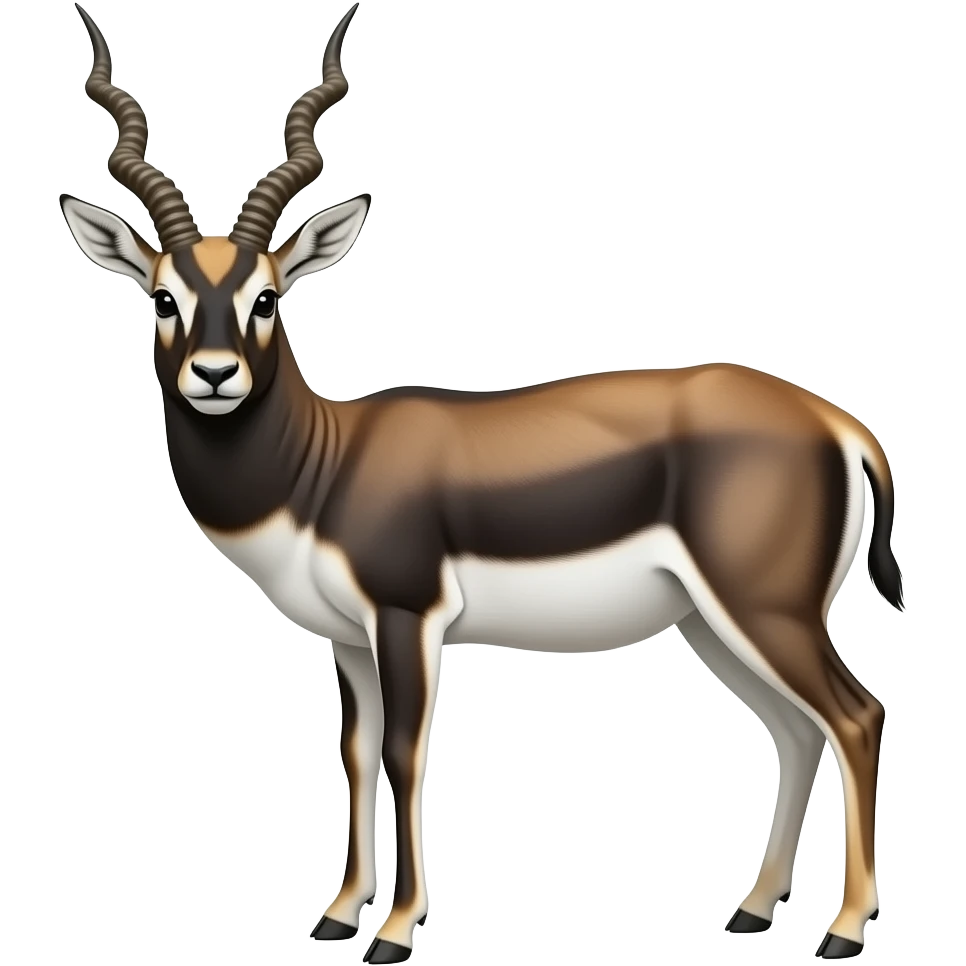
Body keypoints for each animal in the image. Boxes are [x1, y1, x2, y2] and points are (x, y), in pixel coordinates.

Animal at [59, 4, 900, 963]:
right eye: (162, 297)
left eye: (267, 297)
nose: (212, 375)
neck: (327, 466)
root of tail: (838, 423)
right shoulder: (348, 640)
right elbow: (355, 752)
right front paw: (337, 915)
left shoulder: (407, 614)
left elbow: (406, 752)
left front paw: (393, 931)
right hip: (713, 621)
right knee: (795, 731)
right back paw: (753, 911)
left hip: (767, 608)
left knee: (855, 716)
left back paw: (843, 930)